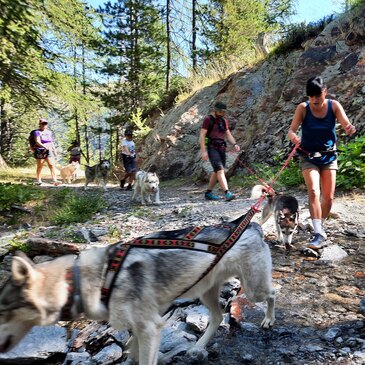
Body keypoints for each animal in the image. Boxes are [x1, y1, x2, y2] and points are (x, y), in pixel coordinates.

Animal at [0, 215, 274, 362]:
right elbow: (132, 351)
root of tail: (251, 225)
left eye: (4, 311)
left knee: (271, 293)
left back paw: (269, 320)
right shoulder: (139, 327)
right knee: (217, 317)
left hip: (253, 288)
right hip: (204, 290)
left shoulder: (150, 328)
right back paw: (198, 347)